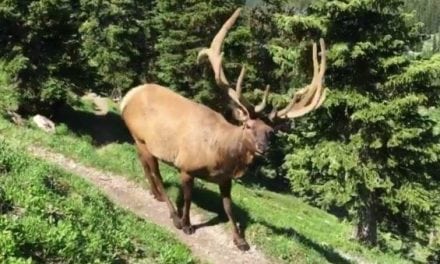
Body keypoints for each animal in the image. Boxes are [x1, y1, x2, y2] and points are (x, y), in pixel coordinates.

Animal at [120, 8, 326, 251]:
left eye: (271, 132)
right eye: (248, 126)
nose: (263, 147)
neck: (221, 156)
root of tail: (126, 97)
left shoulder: (226, 180)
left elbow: (229, 207)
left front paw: (240, 240)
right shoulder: (186, 166)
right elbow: (187, 198)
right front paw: (187, 224)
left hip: (139, 140)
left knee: (145, 165)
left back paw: (156, 195)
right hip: (142, 138)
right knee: (157, 173)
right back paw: (173, 215)